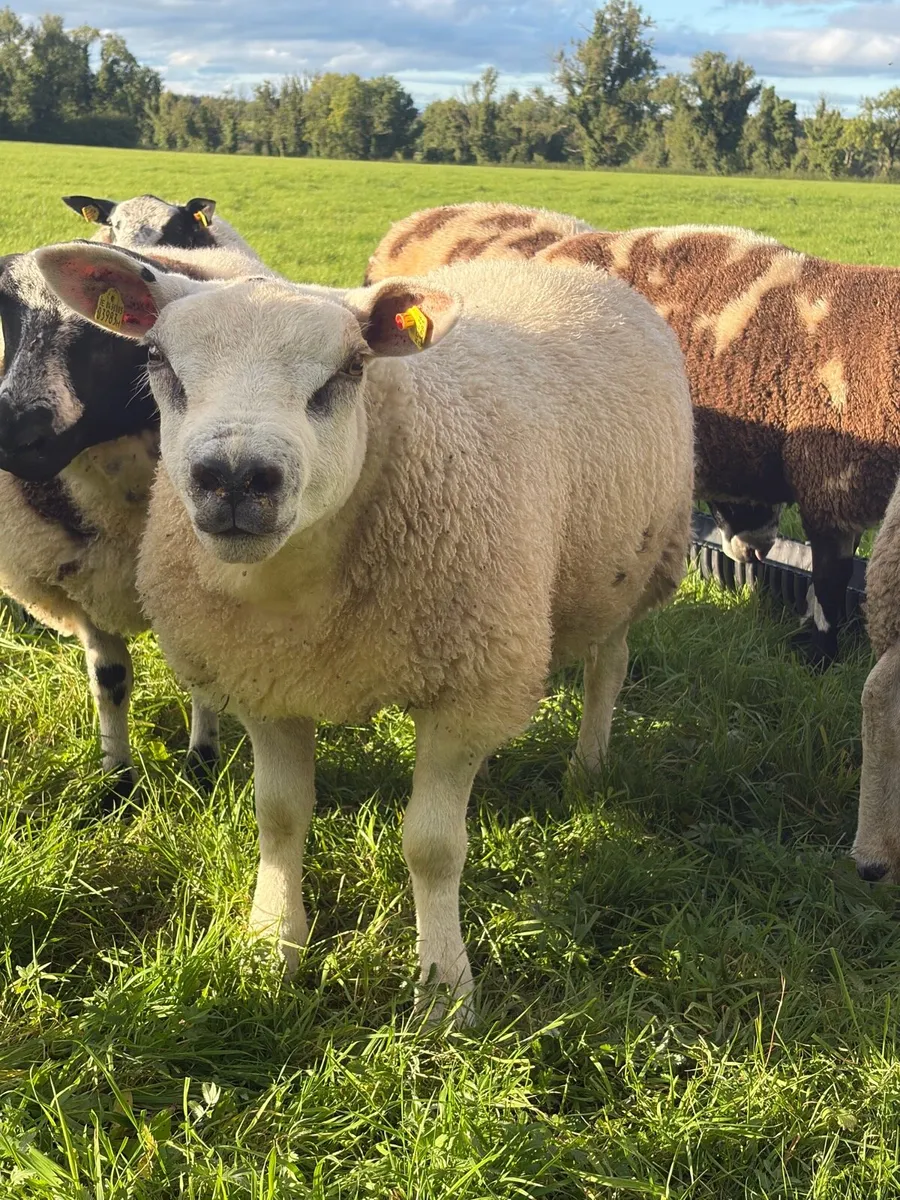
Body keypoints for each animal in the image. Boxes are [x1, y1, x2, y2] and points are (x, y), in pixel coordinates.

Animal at [0, 241, 274, 797]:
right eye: (5, 318)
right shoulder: (85, 585)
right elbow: (110, 680)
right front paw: (117, 781)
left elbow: (201, 675)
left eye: (99, 331)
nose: (15, 437)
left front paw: (202, 765)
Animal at [36, 238, 694, 1015]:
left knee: (606, 671)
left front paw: (444, 990)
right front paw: (271, 947)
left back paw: (588, 769)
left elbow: (433, 848)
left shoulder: (465, 689)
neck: (302, 600)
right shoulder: (268, 684)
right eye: (158, 360)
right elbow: (279, 815)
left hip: (631, 575)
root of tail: (564, 266)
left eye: (350, 369)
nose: (235, 477)